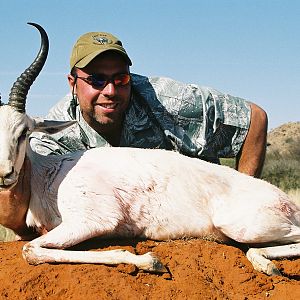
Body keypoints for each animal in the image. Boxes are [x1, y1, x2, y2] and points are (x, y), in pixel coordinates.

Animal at [0, 23, 300, 276]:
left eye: (24, 132)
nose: (6, 175)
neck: (46, 177)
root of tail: (289, 202)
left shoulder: (91, 221)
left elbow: (30, 250)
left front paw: (149, 260)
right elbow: (30, 247)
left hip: (244, 226)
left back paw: (265, 264)